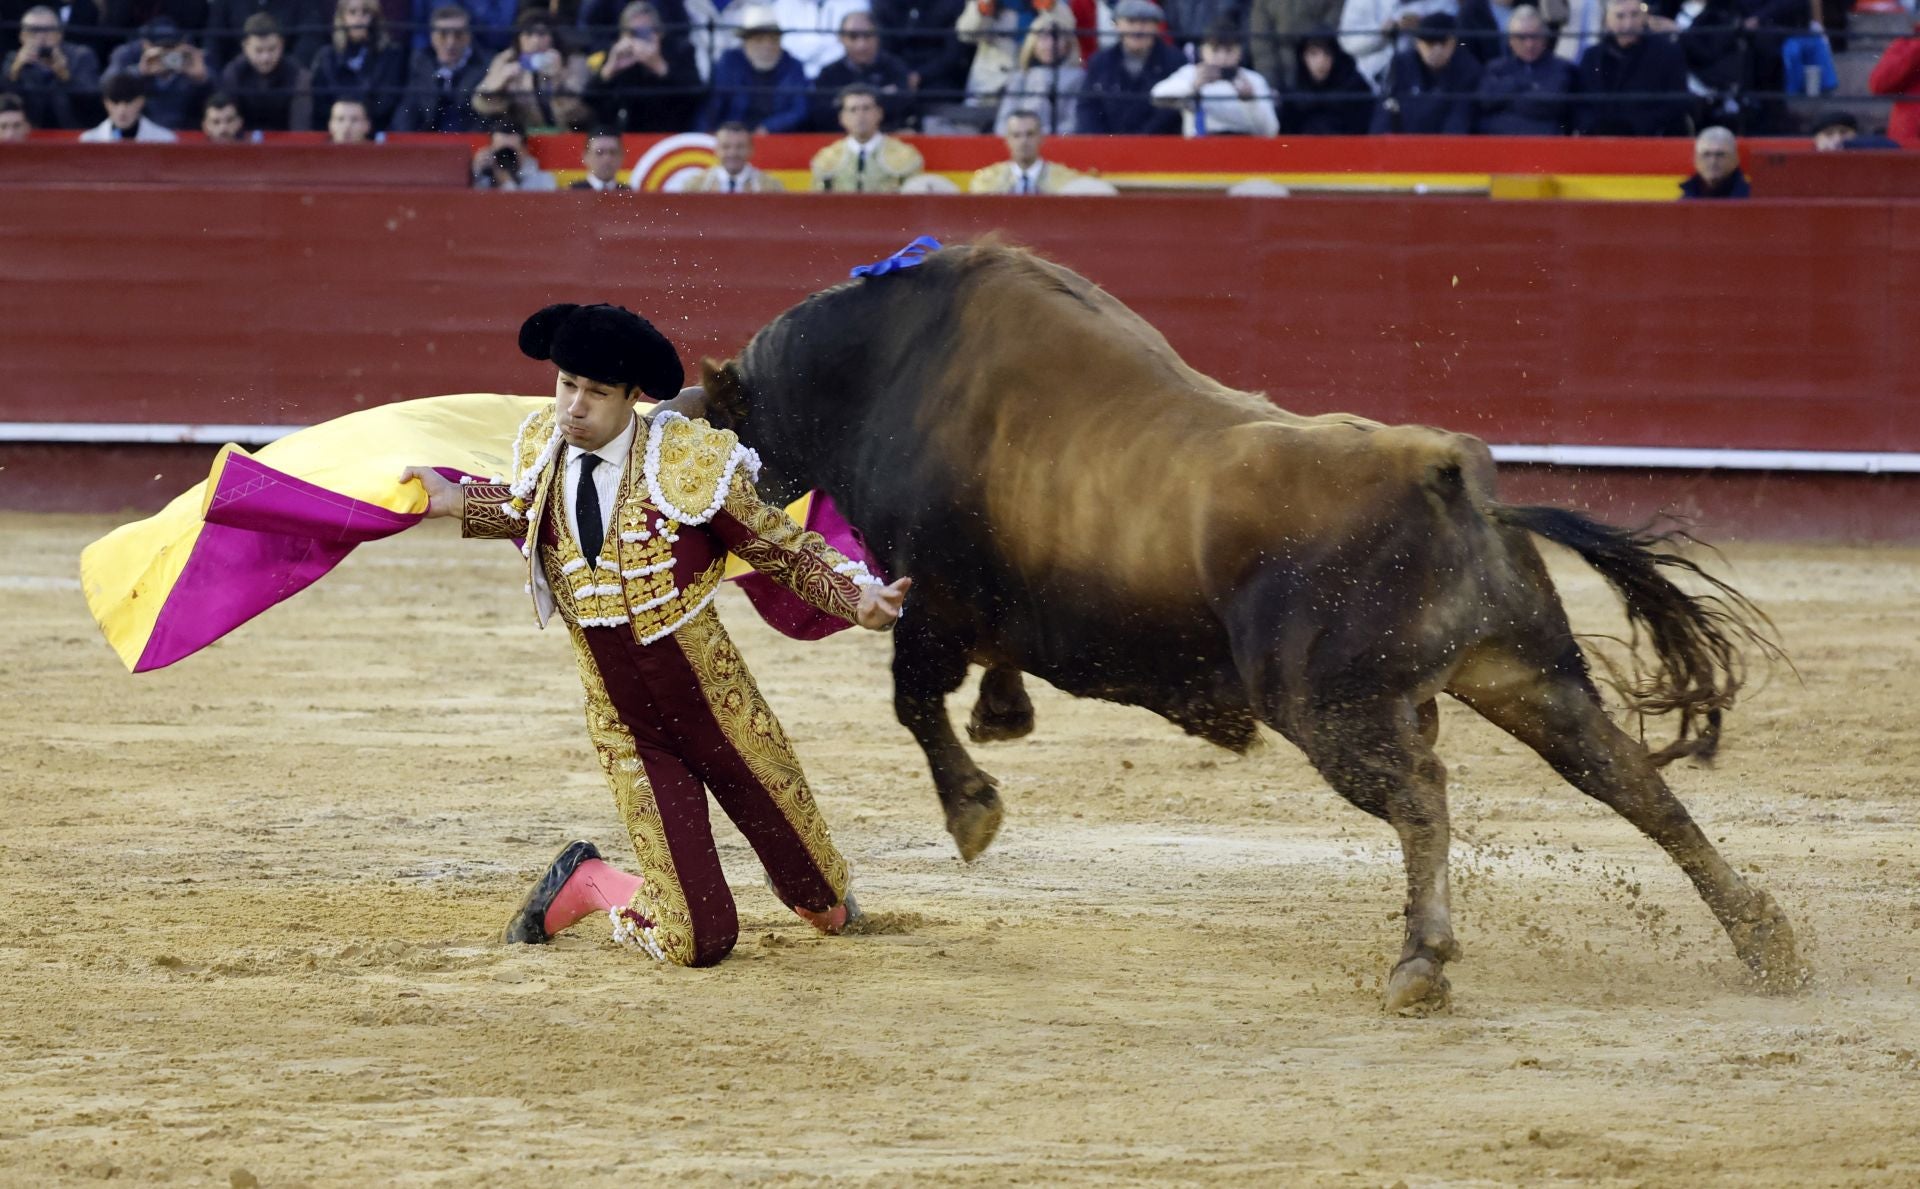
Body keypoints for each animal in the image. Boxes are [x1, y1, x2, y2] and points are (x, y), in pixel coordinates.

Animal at [698, 242, 1804, 1014]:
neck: (883, 370)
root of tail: (1445, 471)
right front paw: (1004, 719)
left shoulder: (933, 600)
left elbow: (911, 697)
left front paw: (974, 807)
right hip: (1522, 673)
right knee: (1631, 781)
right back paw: (1763, 937)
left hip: (1329, 706)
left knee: (1423, 797)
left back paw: (1421, 961)